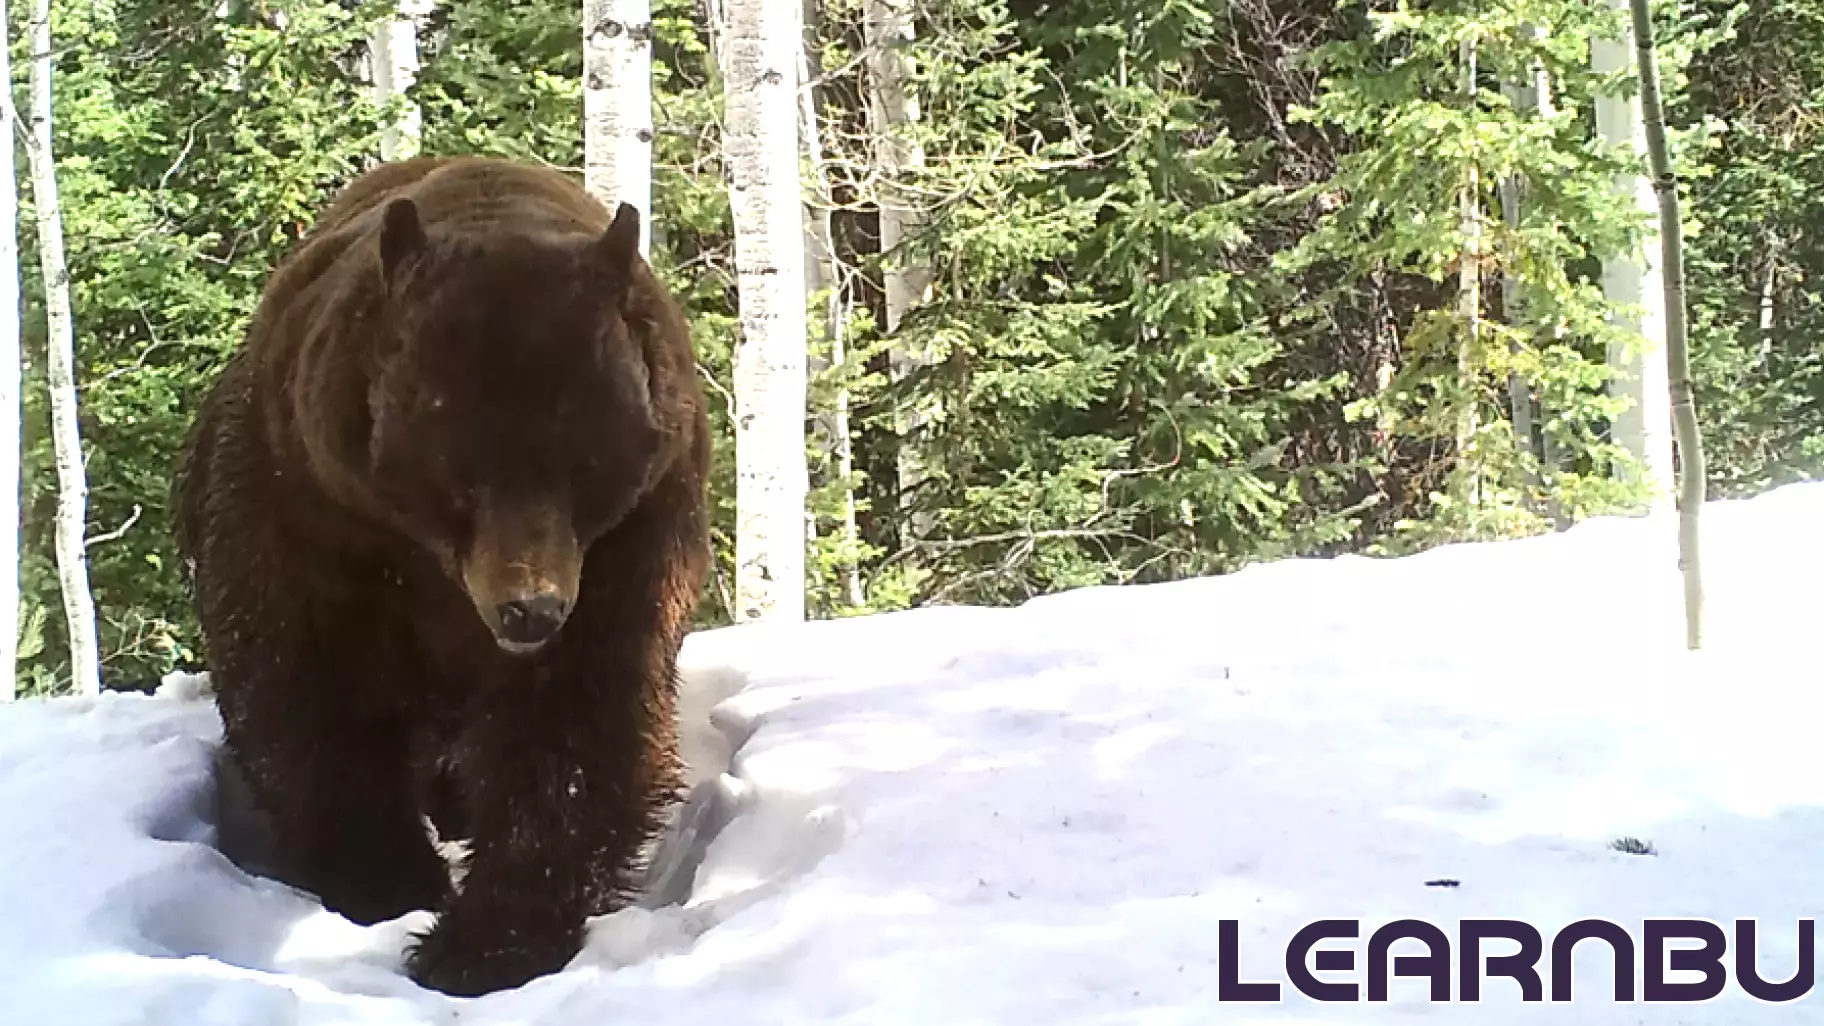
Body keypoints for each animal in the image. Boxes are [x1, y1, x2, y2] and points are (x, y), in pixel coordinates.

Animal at [171, 155, 711, 996]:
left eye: (585, 464)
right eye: (459, 472)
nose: (530, 609)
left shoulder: (635, 535)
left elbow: (580, 717)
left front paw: (485, 940)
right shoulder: (303, 510)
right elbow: (301, 690)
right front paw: (389, 884)